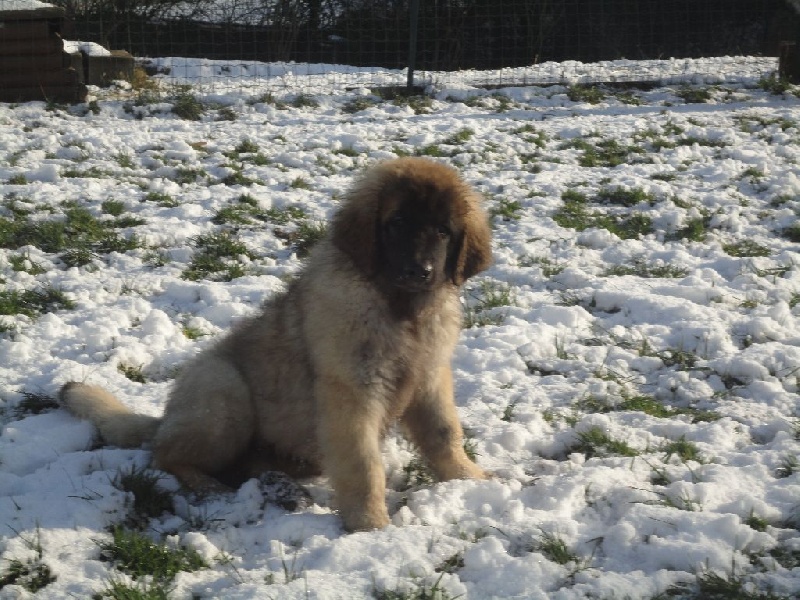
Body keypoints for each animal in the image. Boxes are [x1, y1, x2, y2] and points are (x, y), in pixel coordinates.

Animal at [61, 156, 493, 531]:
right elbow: (363, 463)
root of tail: (164, 420)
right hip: (223, 394)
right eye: (398, 223)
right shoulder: (352, 391)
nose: (420, 271)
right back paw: (209, 486)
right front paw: (370, 524)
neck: (400, 309)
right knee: (165, 455)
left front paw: (469, 478)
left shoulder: (430, 376)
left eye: (443, 231)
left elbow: (444, 433)